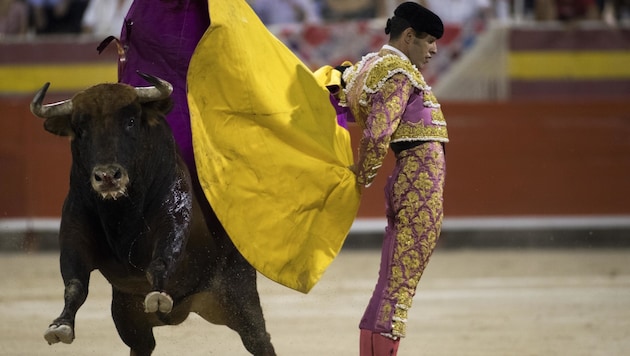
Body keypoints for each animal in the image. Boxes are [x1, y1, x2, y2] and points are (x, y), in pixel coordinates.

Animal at [29, 73, 276, 356]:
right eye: (80, 131)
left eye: (131, 121)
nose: (107, 176)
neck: (120, 212)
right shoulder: (74, 233)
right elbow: (75, 283)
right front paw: (60, 325)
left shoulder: (172, 220)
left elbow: (160, 259)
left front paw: (157, 295)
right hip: (129, 319)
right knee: (142, 345)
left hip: (240, 300)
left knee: (259, 339)